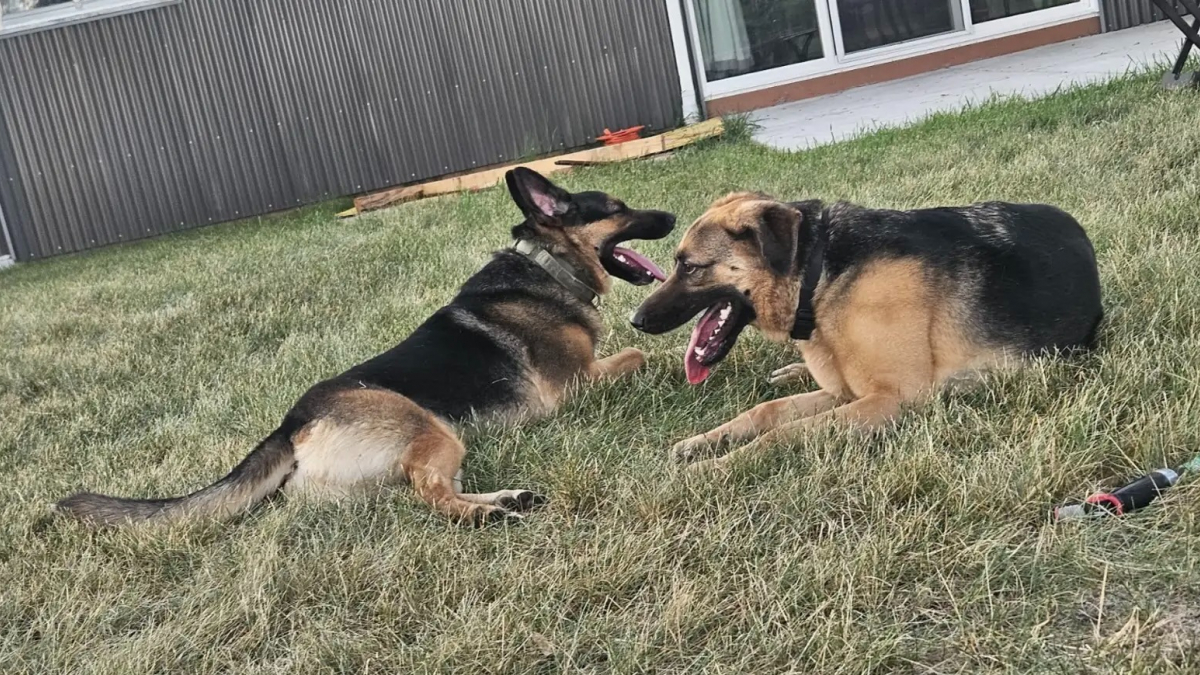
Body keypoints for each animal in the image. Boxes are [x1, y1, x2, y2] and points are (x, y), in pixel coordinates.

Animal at [54, 168, 676, 526]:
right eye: (617, 208)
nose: (672, 215)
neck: (545, 265)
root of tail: (291, 424)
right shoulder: (576, 384)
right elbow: (639, 354)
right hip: (430, 424)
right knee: (429, 494)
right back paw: (490, 515)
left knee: (418, 490)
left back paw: (505, 500)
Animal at [633, 192, 1099, 470]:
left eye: (689, 267)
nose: (635, 321)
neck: (819, 275)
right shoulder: (844, 394)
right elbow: (765, 412)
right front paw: (704, 443)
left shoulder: (887, 401)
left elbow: (783, 433)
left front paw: (719, 466)